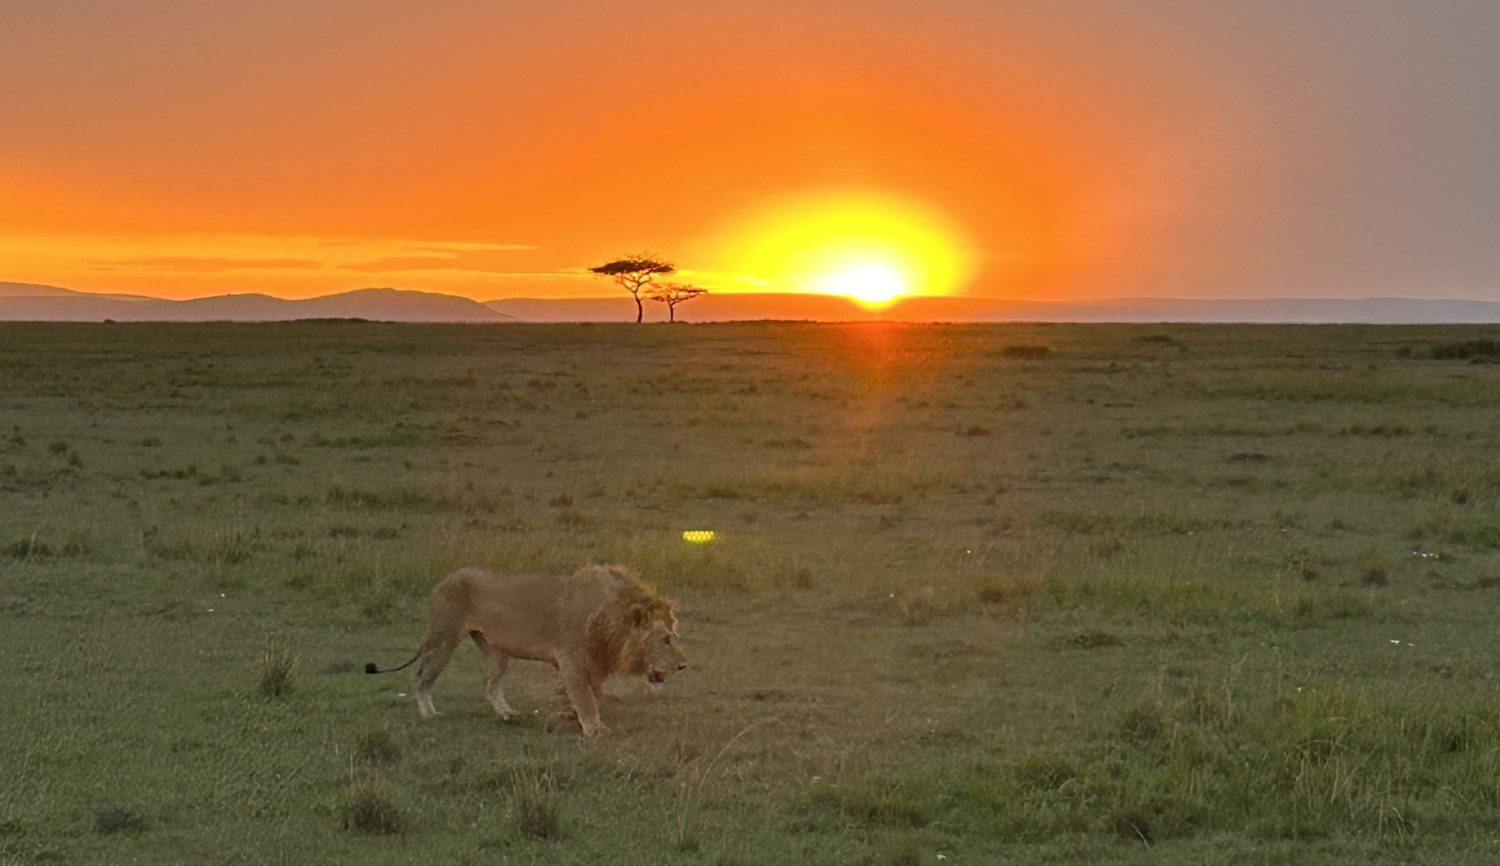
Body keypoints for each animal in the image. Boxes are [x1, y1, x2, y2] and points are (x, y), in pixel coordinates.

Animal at [366, 564, 685, 737]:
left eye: (674, 636)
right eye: (665, 639)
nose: (683, 665)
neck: (611, 618)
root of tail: (442, 581)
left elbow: (589, 695)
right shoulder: (569, 658)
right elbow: (585, 699)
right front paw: (596, 730)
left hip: (495, 652)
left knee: (490, 685)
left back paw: (507, 714)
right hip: (442, 640)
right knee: (421, 678)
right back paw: (429, 714)